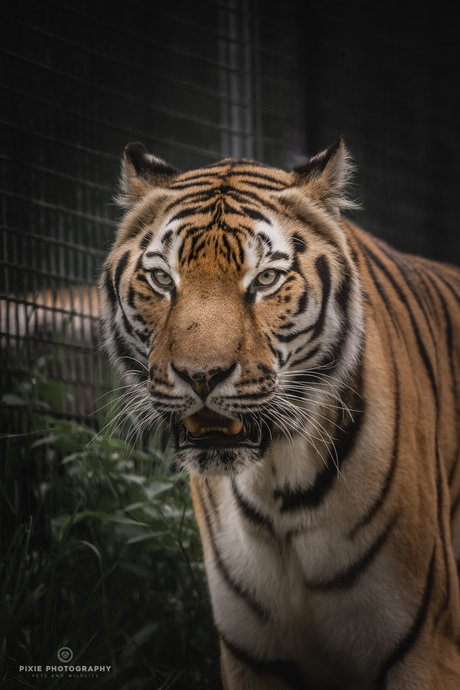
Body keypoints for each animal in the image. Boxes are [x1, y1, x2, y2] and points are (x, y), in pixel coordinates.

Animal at [99, 137, 460, 684]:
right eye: (162, 279)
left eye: (266, 278)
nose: (200, 375)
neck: (278, 490)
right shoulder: (252, 654)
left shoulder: (424, 649)